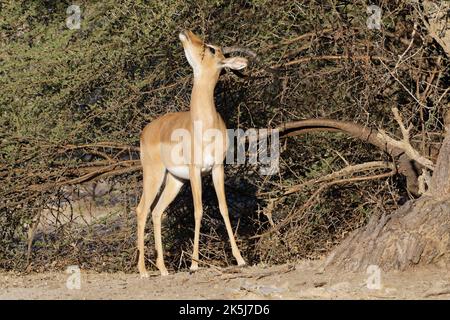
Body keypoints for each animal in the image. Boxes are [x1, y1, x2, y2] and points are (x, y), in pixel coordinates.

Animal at [135, 30, 251, 276]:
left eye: (211, 48)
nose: (186, 33)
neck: (204, 124)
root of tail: (147, 129)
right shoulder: (195, 171)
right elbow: (198, 210)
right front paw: (194, 264)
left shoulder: (216, 169)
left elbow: (223, 208)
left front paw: (240, 259)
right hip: (154, 175)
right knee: (142, 210)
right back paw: (143, 271)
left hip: (174, 180)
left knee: (157, 211)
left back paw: (163, 269)